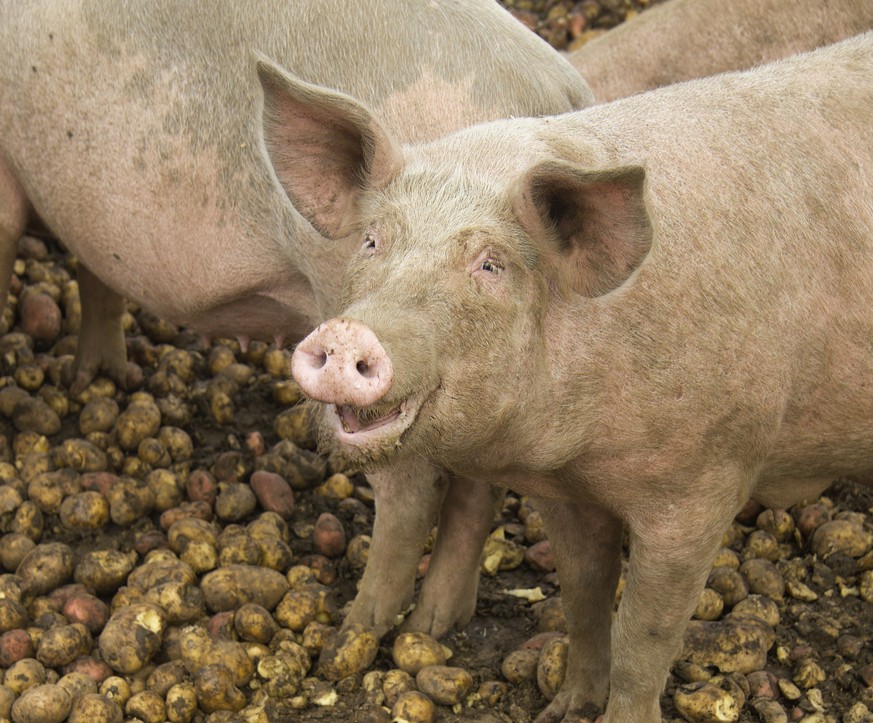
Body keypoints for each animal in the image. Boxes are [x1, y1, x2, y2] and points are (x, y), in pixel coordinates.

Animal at [1, 0, 592, 664]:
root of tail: (561, 95)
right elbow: (96, 277)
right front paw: (96, 377)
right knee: (473, 486)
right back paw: (435, 626)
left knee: (415, 489)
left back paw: (352, 634)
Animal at [280, 32, 872, 723]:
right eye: (373, 241)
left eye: (490, 265)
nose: (347, 332)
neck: (582, 455)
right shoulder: (563, 491)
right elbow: (584, 596)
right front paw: (561, 711)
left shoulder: (705, 482)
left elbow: (645, 637)